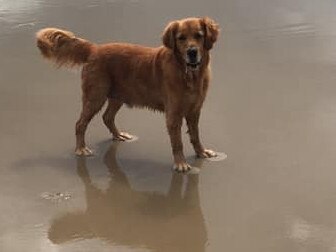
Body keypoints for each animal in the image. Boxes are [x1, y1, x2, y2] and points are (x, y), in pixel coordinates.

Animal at [35, 16, 219, 172]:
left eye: (199, 36)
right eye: (181, 38)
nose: (192, 52)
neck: (188, 74)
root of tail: (94, 49)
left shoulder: (195, 110)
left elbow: (195, 135)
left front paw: (201, 152)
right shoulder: (173, 114)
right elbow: (178, 142)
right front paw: (180, 163)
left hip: (117, 96)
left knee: (107, 117)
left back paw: (119, 135)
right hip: (95, 96)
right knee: (80, 124)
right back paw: (81, 148)